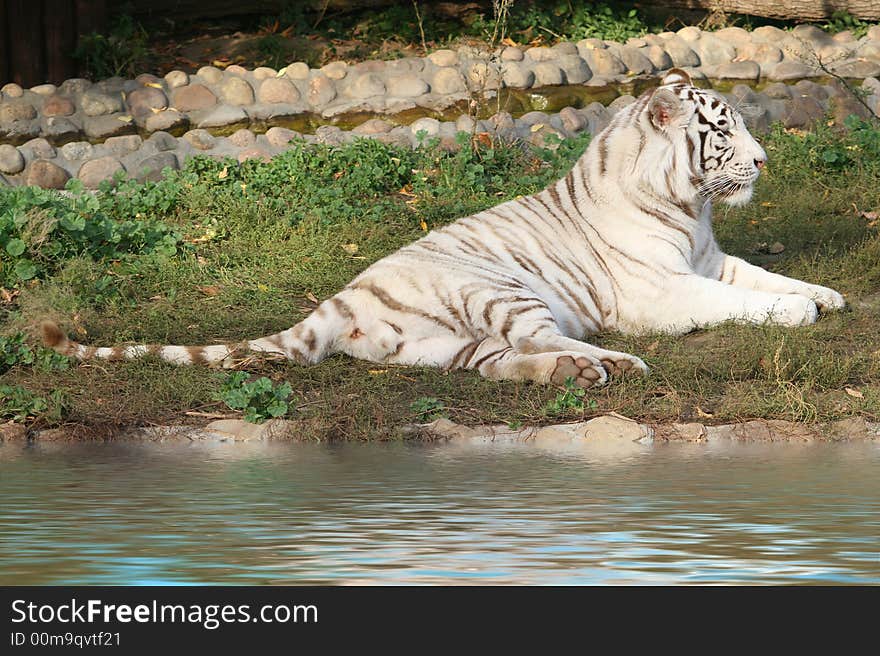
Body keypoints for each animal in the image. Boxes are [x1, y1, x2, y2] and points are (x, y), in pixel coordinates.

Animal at [43, 69, 844, 386]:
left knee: (504, 363)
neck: (690, 208)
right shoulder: (663, 291)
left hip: (444, 346)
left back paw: (578, 372)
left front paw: (825, 294)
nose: (765, 161)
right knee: (542, 339)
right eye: (723, 131)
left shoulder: (711, 258)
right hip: (502, 291)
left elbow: (763, 274)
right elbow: (740, 301)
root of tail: (340, 299)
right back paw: (616, 365)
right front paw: (799, 312)